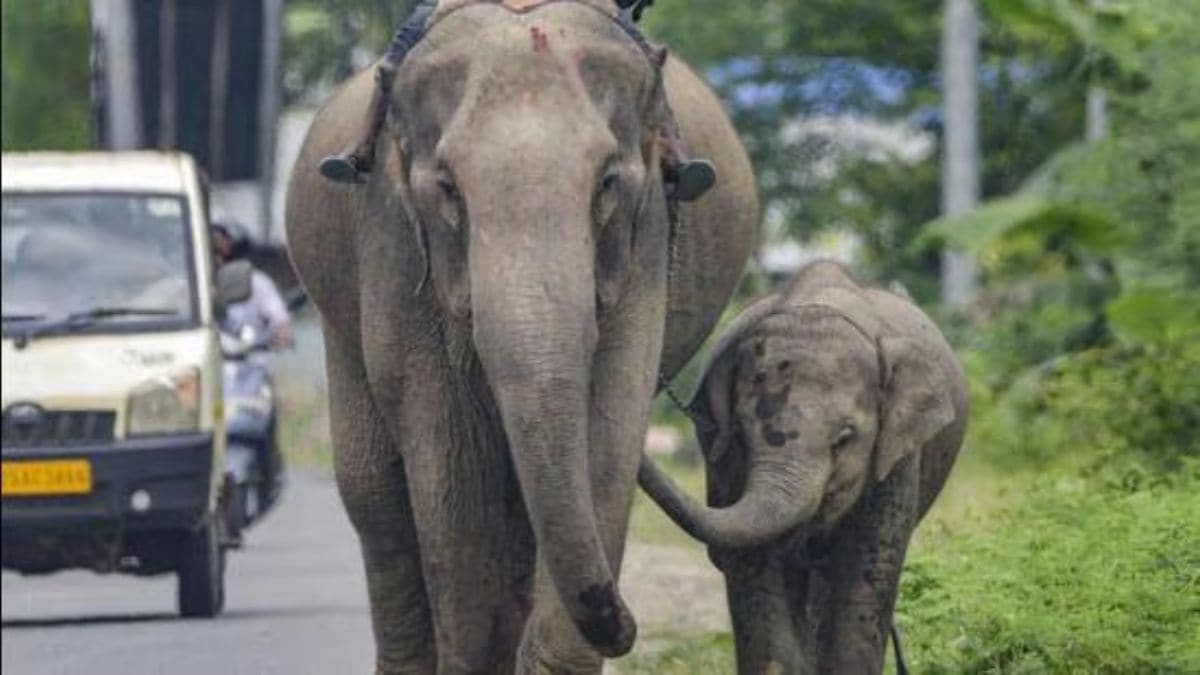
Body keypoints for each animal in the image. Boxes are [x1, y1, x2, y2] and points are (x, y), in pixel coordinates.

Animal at [285, 1, 757, 672]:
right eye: (448, 189)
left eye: (607, 182)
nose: (626, 627)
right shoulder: (393, 243)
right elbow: (444, 438)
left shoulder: (646, 240)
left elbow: (609, 425)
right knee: (375, 498)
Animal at [638, 260, 968, 674]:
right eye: (741, 433)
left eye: (845, 438)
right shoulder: (725, 459)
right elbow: (755, 565)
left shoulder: (898, 457)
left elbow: (869, 570)